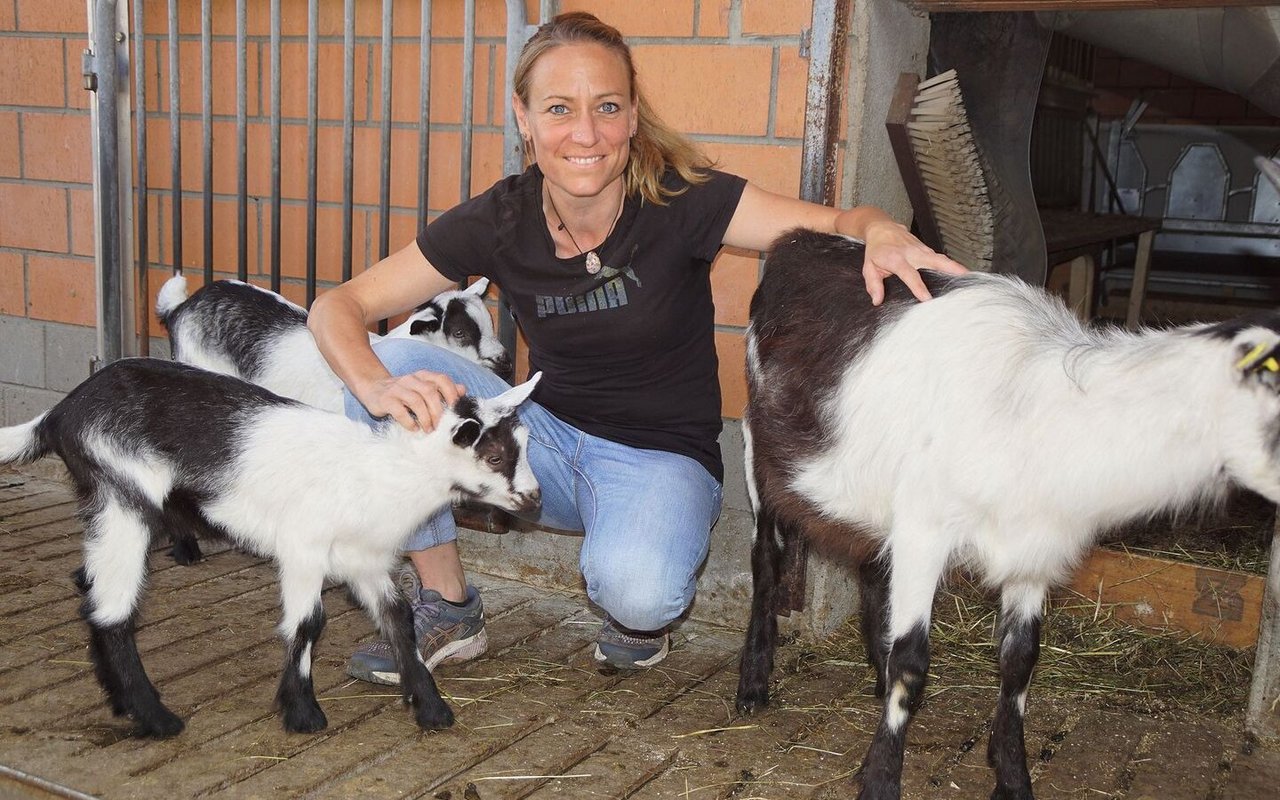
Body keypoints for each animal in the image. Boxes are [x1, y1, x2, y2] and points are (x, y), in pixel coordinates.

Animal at [0, 358, 540, 737]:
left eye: (526, 443)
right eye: (494, 455)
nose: (534, 499)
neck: (376, 473)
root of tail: (59, 413)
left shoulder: (363, 560)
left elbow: (399, 619)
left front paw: (431, 707)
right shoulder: (303, 546)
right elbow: (308, 623)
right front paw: (302, 712)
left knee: (94, 600)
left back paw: (124, 703)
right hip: (122, 492)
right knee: (112, 612)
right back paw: (156, 718)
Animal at [737, 227, 1280, 798]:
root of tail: (796, 239)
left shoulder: (1032, 546)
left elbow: (1020, 661)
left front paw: (1013, 776)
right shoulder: (925, 529)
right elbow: (912, 661)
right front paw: (881, 780)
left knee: (869, 565)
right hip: (758, 448)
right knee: (766, 562)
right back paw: (753, 684)